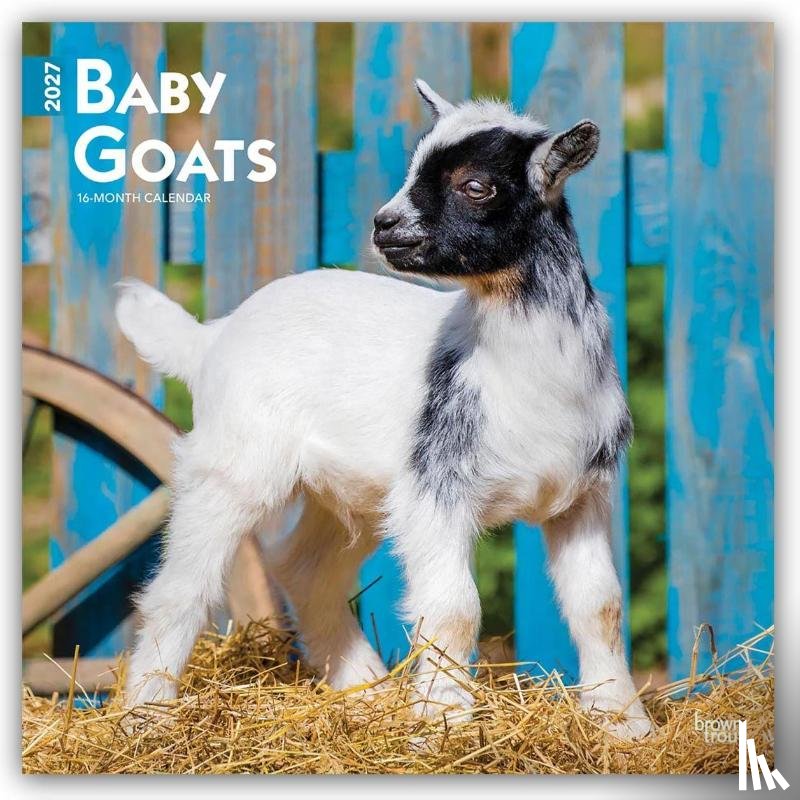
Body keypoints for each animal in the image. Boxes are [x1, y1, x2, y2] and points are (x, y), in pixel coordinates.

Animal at [115, 79, 651, 739]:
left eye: (476, 184)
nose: (384, 224)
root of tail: (210, 339)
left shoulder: (582, 495)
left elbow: (599, 605)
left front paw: (625, 723)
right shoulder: (435, 492)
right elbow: (454, 610)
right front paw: (446, 723)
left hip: (352, 493)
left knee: (305, 571)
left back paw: (365, 693)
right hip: (233, 464)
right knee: (181, 587)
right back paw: (146, 718)